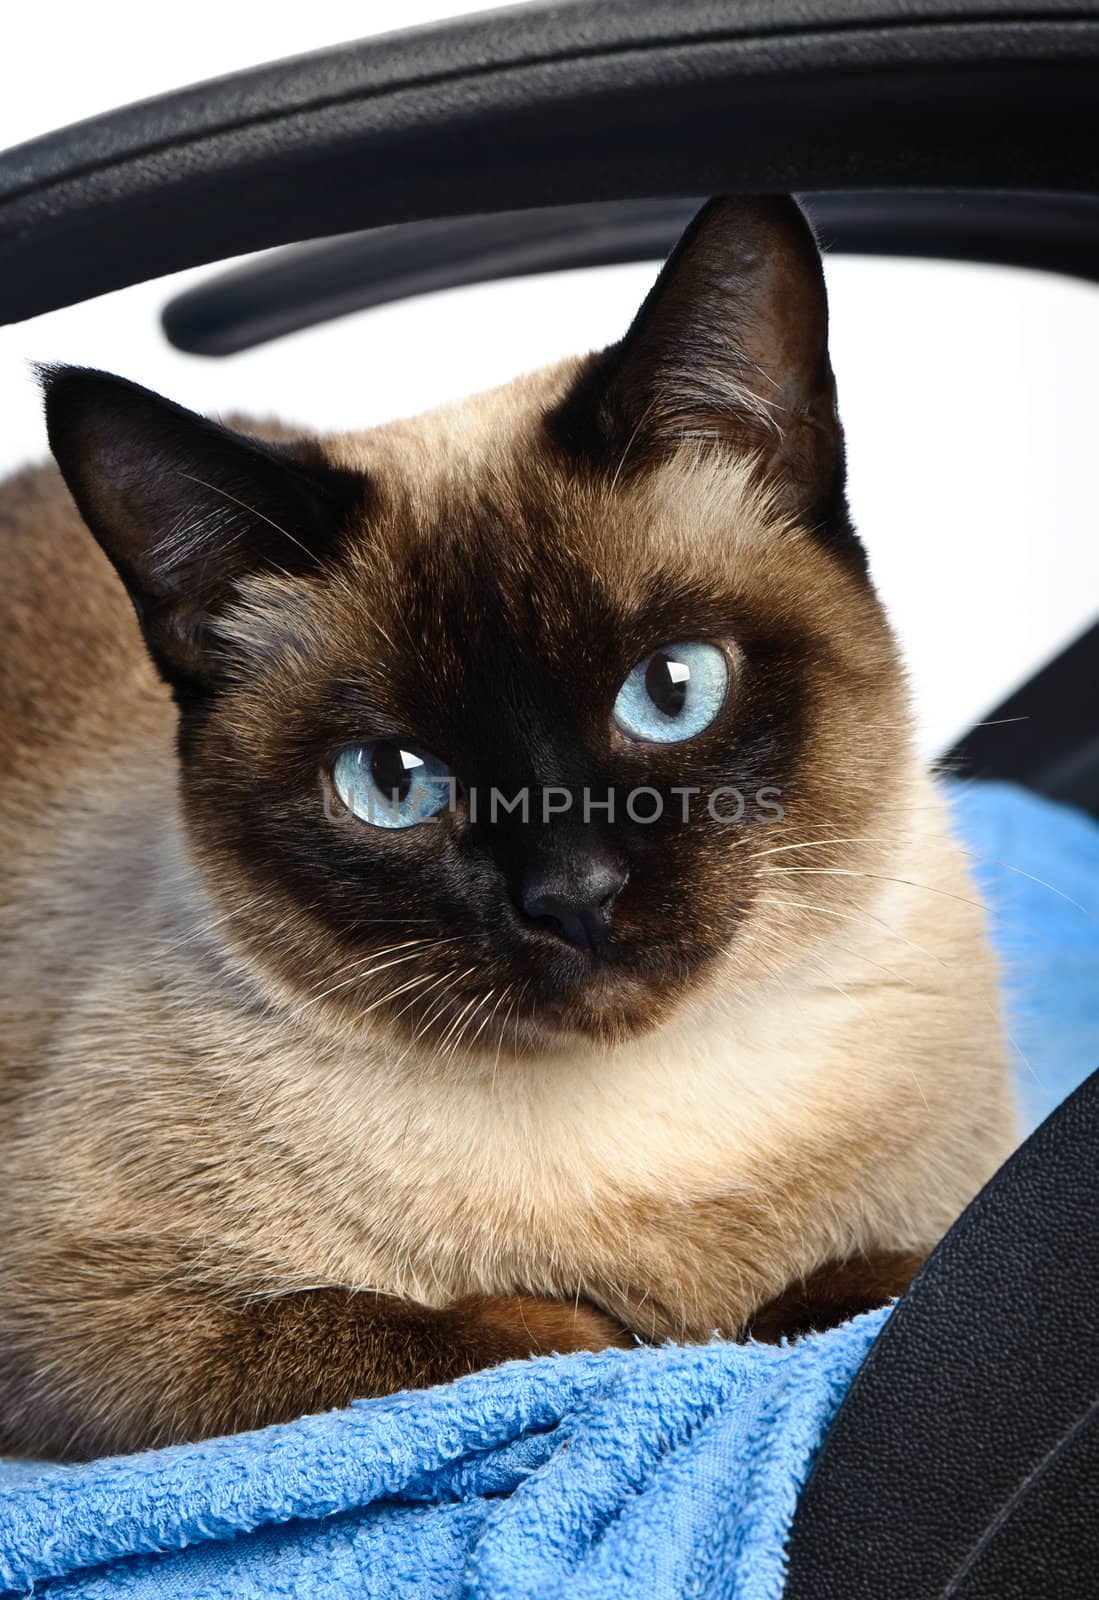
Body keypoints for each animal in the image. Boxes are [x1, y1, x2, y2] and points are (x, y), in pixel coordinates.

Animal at [0, 200, 1017, 1465]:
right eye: (392, 782)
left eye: (670, 690)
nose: (574, 893)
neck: (657, 1149)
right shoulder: (78, 1332)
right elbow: (472, 1334)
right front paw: (626, 1334)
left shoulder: (953, 1210)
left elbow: (874, 1278)